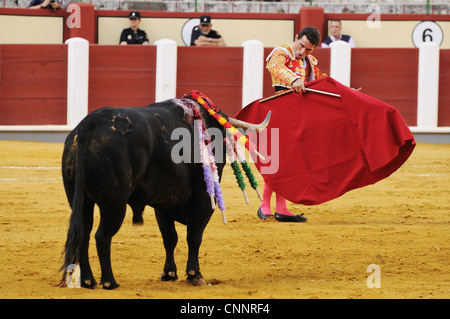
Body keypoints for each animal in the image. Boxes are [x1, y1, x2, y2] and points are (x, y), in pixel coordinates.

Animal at [59, 92, 270, 290]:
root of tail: (90, 123)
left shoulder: (163, 204)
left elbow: (170, 237)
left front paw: (169, 273)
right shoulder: (202, 201)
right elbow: (194, 237)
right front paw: (195, 275)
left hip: (81, 201)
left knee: (84, 234)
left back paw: (88, 280)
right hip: (114, 204)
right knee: (102, 236)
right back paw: (109, 281)